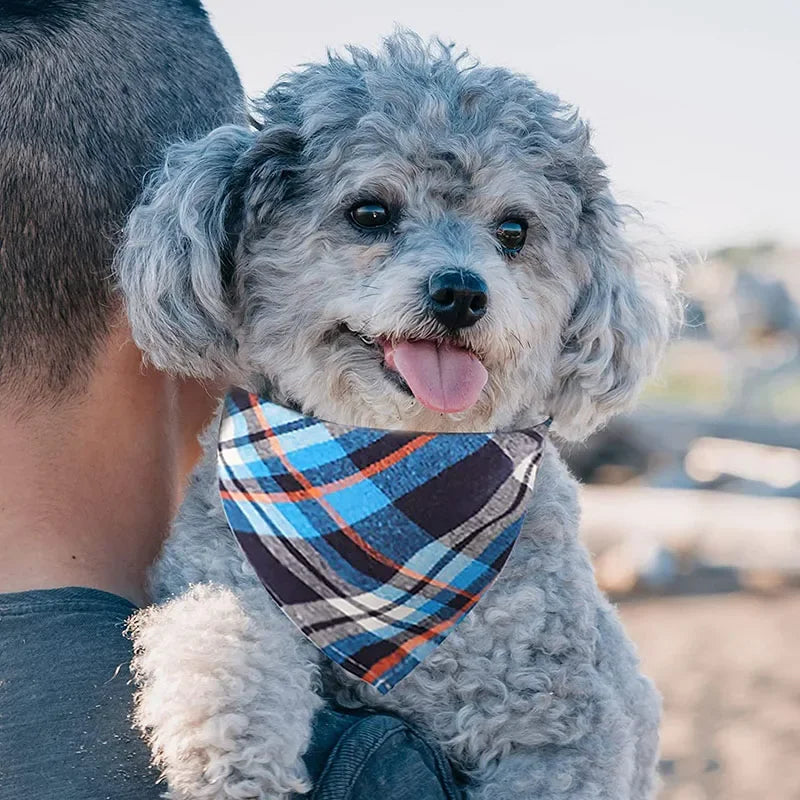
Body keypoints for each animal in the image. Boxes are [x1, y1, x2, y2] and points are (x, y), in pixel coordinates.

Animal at [117, 32, 680, 800]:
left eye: (514, 229)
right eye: (370, 213)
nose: (461, 292)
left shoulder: (566, 725)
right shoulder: (222, 567)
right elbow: (220, 640)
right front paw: (229, 766)